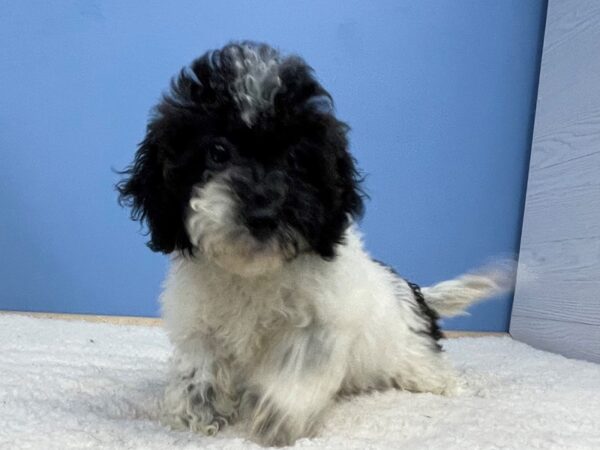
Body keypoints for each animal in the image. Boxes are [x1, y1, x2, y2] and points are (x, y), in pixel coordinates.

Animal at [118, 42, 516, 446]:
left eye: (295, 158)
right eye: (217, 151)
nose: (262, 213)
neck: (254, 275)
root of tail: (413, 293)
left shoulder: (323, 321)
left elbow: (301, 364)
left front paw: (279, 414)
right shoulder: (200, 321)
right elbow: (199, 363)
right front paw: (197, 411)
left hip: (411, 352)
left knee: (430, 370)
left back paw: (450, 387)